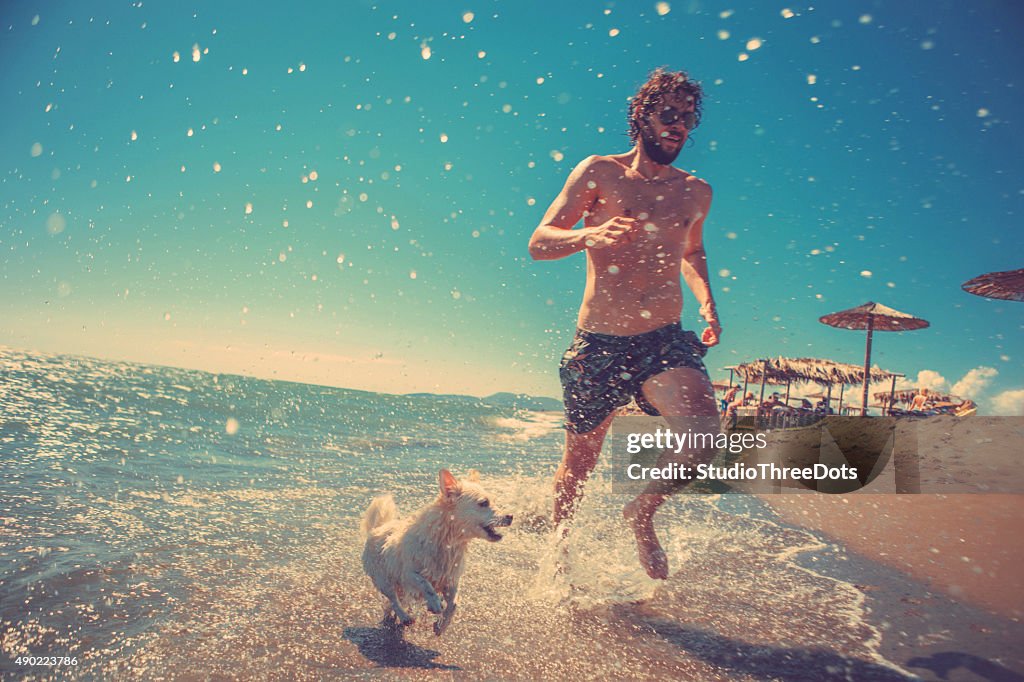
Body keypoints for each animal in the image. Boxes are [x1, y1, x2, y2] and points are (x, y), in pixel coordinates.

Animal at [360, 466, 512, 630]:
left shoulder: (451, 578)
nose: (510, 516)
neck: (447, 541)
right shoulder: (408, 573)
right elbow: (425, 584)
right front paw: (434, 603)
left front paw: (441, 626)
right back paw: (404, 616)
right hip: (383, 580)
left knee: (394, 601)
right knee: (393, 598)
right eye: (484, 503)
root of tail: (378, 528)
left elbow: (454, 603)